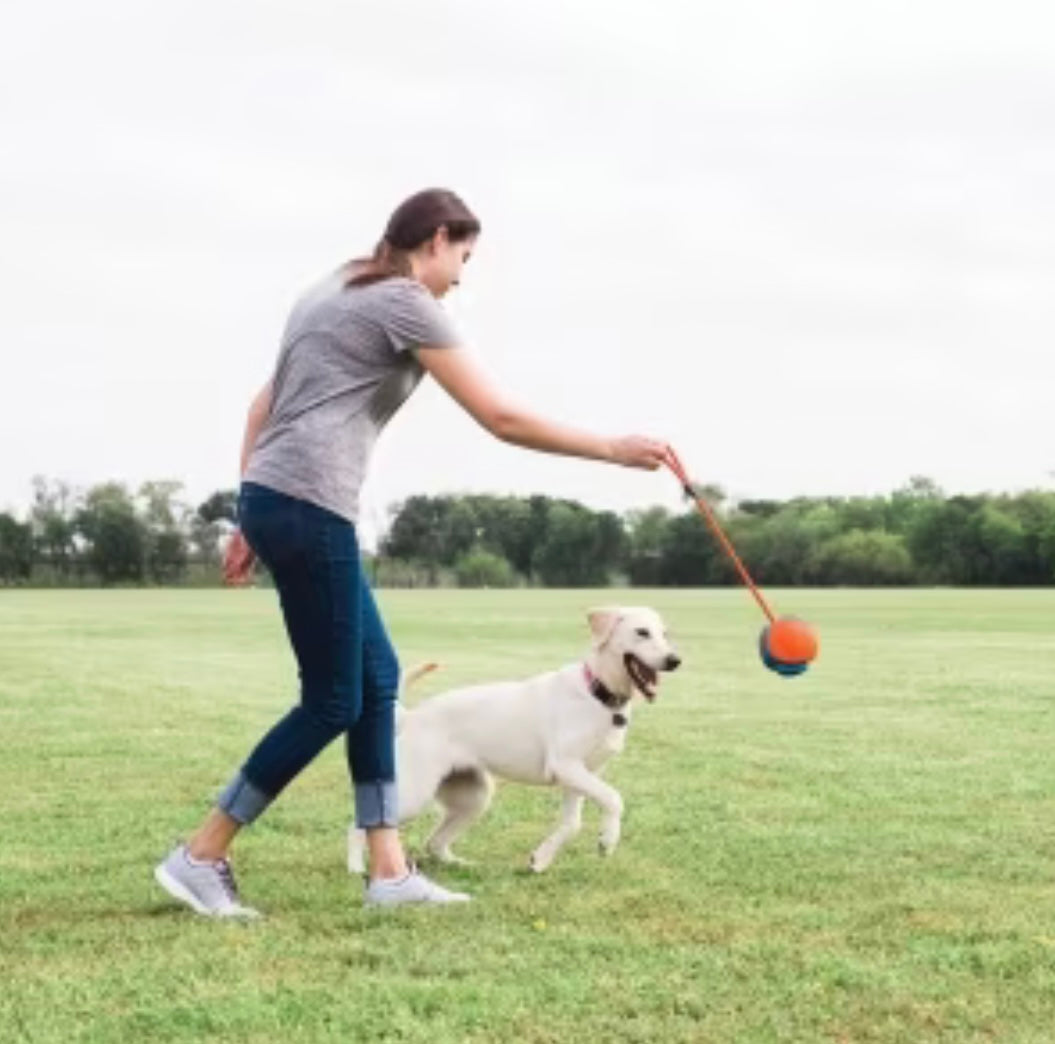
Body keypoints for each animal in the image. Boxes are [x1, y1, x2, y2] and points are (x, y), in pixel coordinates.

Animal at [343, 603, 675, 873]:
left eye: (665, 633)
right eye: (642, 632)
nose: (675, 660)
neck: (598, 695)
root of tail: (412, 716)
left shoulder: (581, 776)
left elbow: (572, 823)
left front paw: (541, 859)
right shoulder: (566, 766)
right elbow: (614, 798)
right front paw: (608, 840)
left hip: (474, 798)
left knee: (434, 843)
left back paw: (460, 865)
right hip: (415, 793)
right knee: (359, 824)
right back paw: (356, 869)